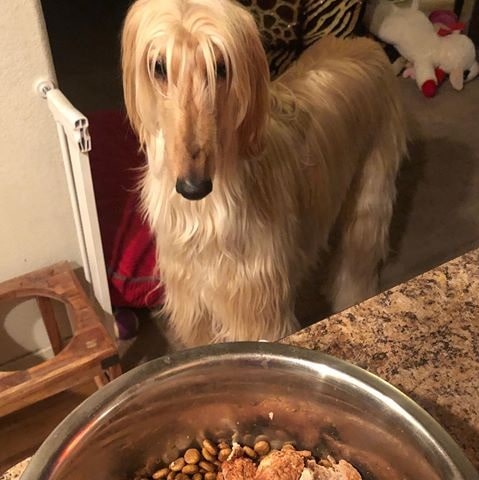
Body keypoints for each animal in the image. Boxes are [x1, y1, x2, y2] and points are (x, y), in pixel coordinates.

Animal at [121, 0, 408, 346]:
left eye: (221, 67)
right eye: (159, 67)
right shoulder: (193, 307)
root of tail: (366, 43)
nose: (193, 187)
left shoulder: (255, 310)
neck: (206, 215)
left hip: (371, 190)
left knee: (357, 263)